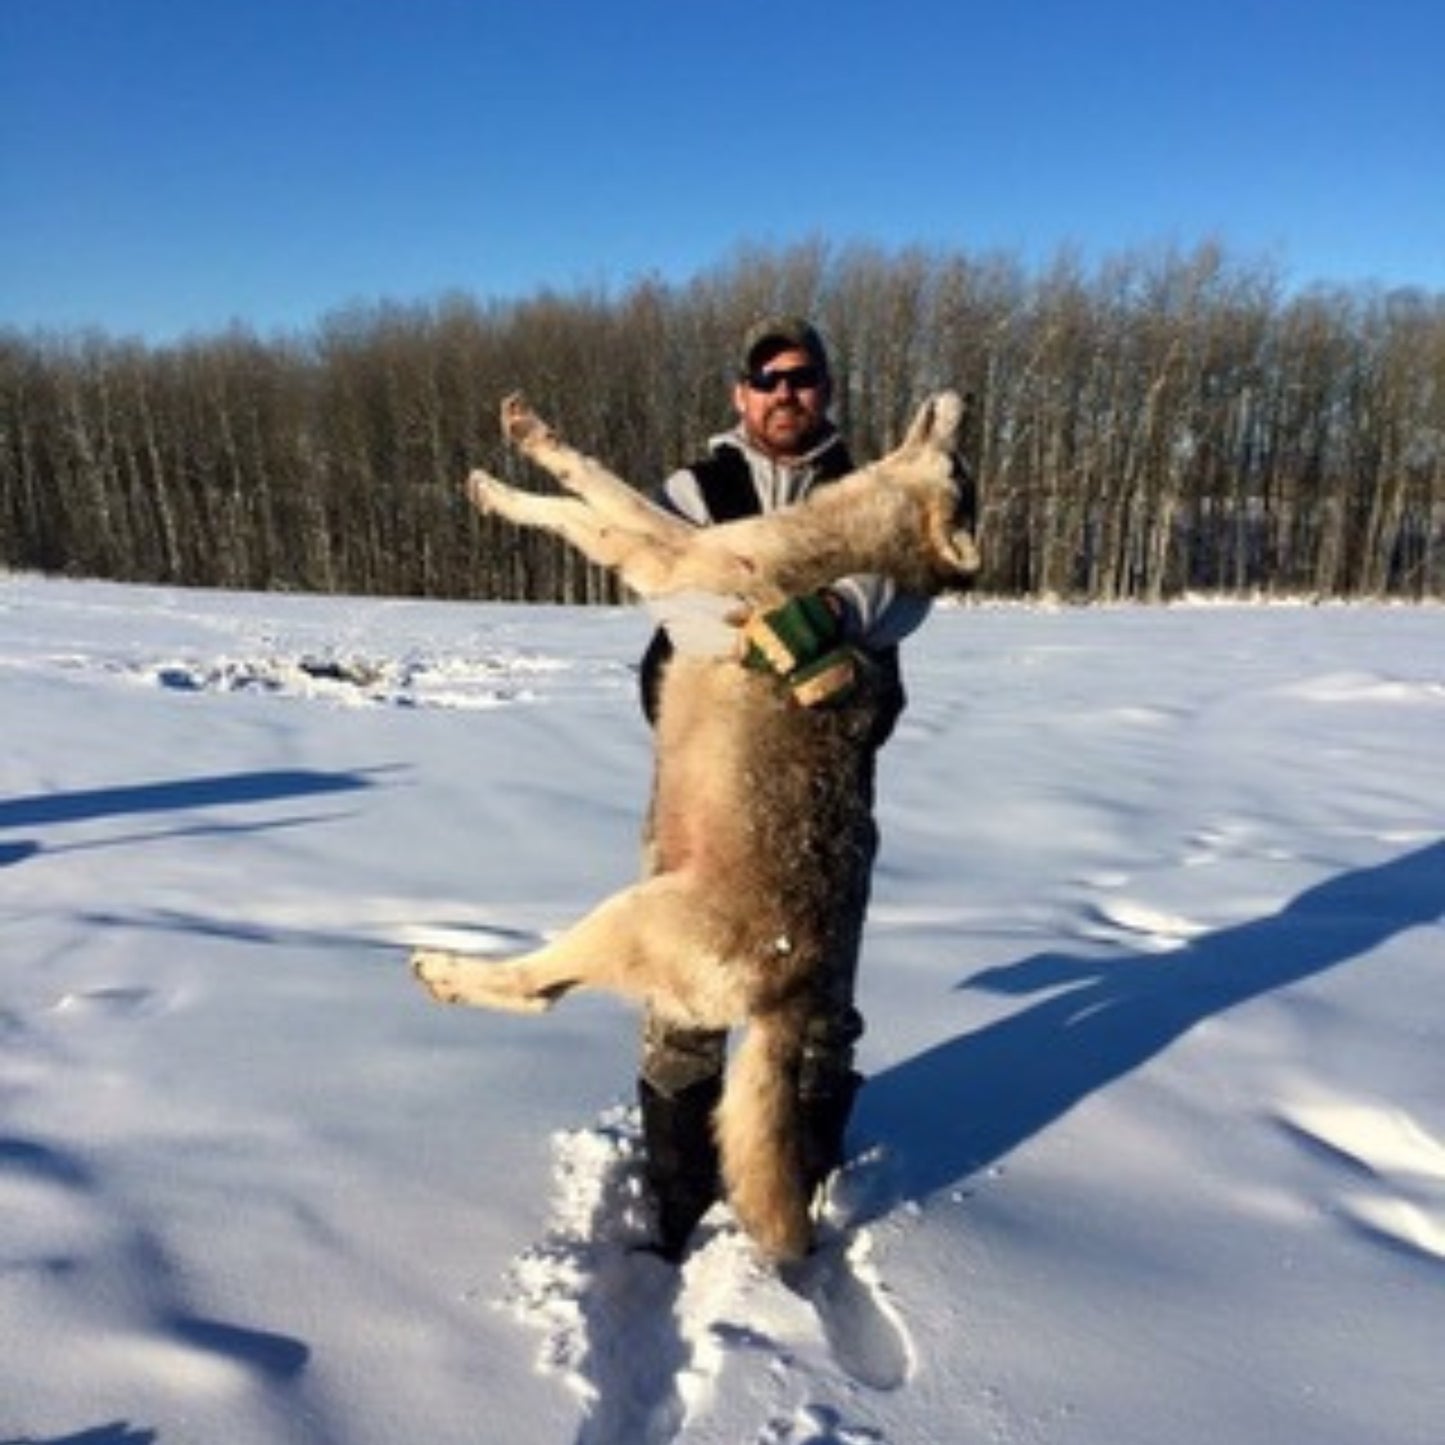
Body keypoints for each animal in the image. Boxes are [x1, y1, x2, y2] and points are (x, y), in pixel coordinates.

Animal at [412, 390, 979, 1261]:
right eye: (962, 460)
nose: (964, 398)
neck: (829, 544)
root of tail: (784, 991)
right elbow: (588, 497)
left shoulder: (668, 554)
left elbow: (585, 495)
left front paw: (508, 467)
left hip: (624, 916)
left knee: (533, 991)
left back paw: (440, 968)